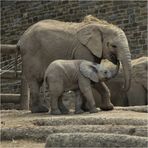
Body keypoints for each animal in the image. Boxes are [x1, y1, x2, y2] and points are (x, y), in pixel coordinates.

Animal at [0, 15, 131, 112]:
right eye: (113, 46)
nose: (116, 60)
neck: (100, 25)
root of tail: (20, 41)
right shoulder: (82, 50)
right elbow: (92, 78)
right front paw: (107, 108)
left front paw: (88, 109)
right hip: (31, 55)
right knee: (35, 81)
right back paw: (41, 110)